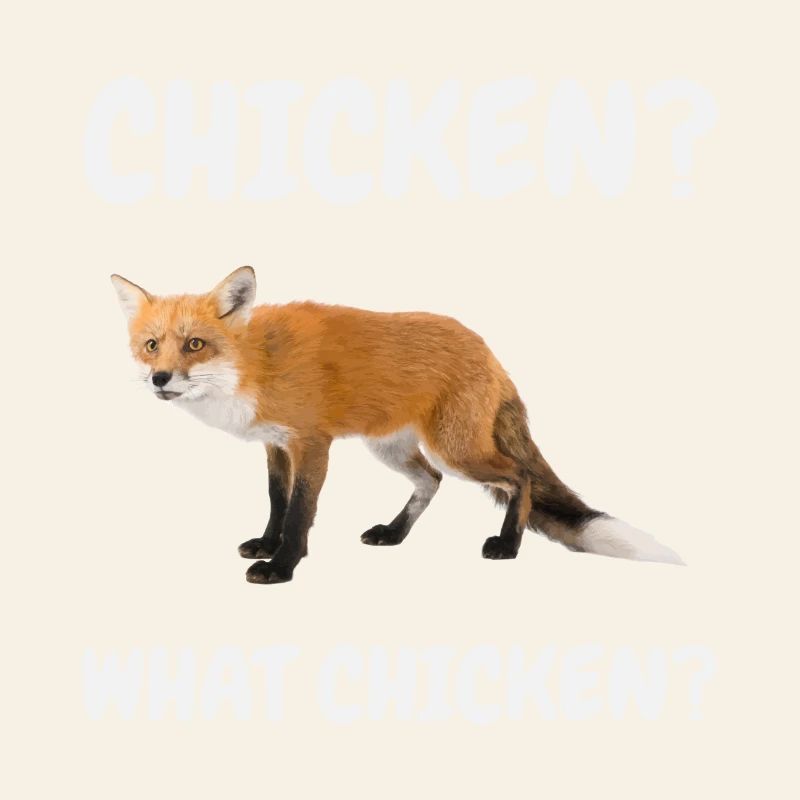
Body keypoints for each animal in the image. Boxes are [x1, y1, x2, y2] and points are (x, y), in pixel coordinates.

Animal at [111, 266, 683, 584]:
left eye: (195, 344)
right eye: (152, 345)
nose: (160, 379)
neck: (258, 363)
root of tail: (486, 348)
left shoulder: (312, 442)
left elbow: (300, 511)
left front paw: (283, 565)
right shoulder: (276, 444)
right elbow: (277, 502)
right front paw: (268, 545)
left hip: (458, 449)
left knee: (517, 476)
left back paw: (508, 544)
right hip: (392, 449)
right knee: (431, 481)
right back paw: (394, 533)